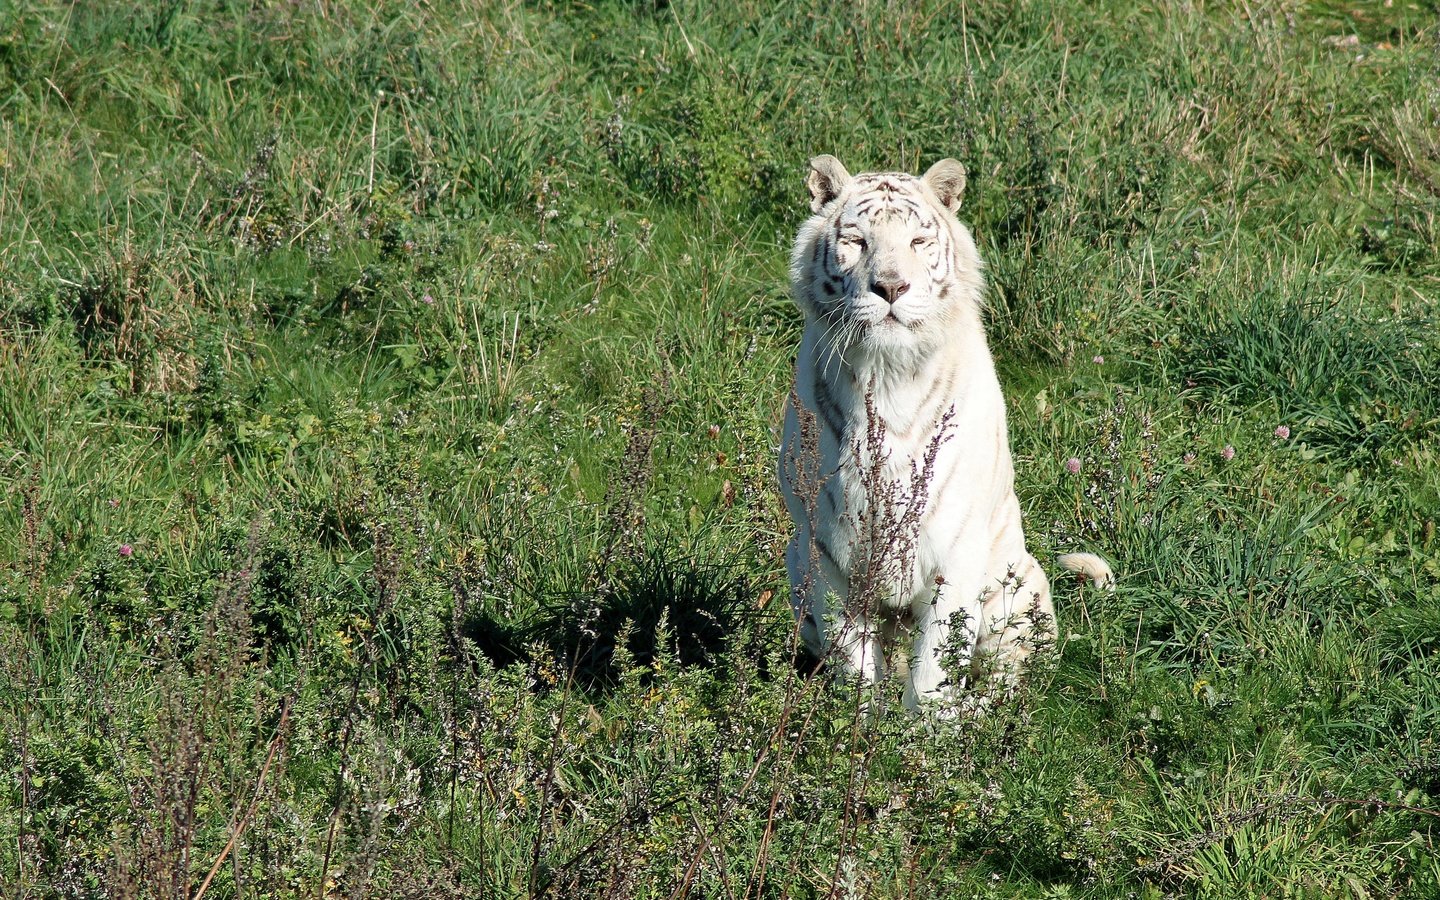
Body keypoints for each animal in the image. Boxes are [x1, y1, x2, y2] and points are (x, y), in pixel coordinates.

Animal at [777, 156, 1111, 717]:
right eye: (856, 241)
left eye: (917, 241)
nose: (891, 288)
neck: (887, 376)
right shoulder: (825, 553)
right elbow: (855, 658)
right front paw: (859, 726)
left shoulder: (954, 550)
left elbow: (936, 662)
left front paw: (923, 734)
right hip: (794, 560)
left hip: (1017, 590)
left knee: (1007, 680)